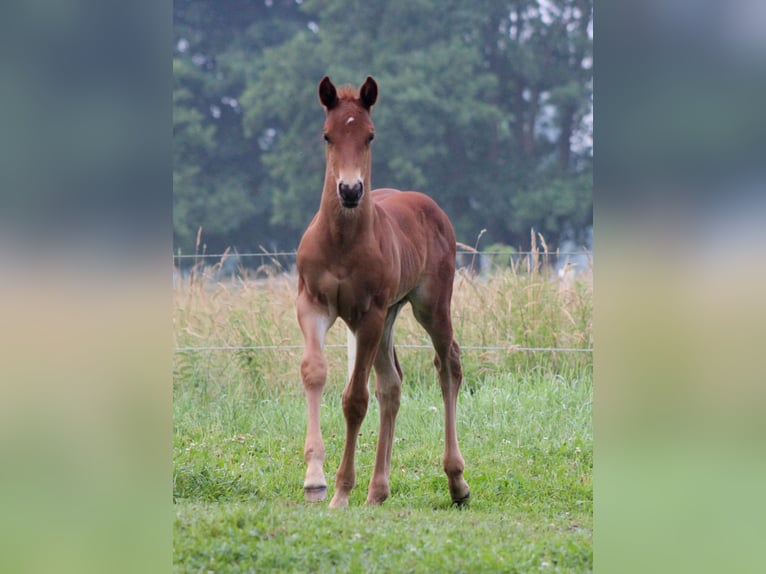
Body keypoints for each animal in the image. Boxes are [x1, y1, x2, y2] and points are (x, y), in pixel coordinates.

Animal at [295, 75, 470, 508]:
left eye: (370, 135)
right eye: (327, 135)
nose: (350, 190)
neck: (341, 242)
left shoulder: (369, 314)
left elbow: (355, 399)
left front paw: (341, 491)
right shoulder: (312, 305)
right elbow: (315, 372)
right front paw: (314, 479)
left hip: (429, 306)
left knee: (448, 366)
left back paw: (457, 481)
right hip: (388, 315)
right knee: (392, 384)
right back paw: (378, 491)